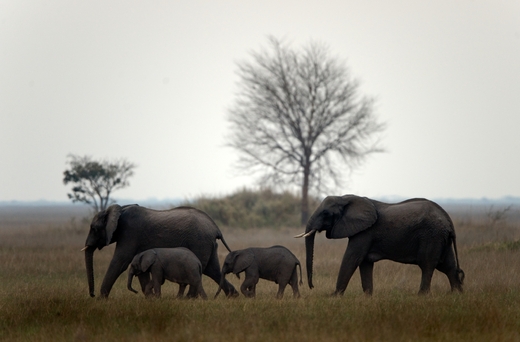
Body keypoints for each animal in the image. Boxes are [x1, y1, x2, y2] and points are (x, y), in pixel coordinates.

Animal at [82, 204, 239, 298]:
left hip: (199, 241)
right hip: (207, 243)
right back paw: (233, 296)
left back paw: (189, 299)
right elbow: (140, 269)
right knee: (212, 270)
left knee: (202, 270)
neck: (120, 209)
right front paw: (150, 298)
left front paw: (101, 300)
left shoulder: (129, 233)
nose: (92, 295)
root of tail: (216, 228)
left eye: (93, 228)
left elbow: (120, 262)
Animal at [294, 196, 466, 296]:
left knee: (428, 265)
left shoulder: (365, 232)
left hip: (431, 236)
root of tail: (449, 220)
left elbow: (352, 258)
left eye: (325, 214)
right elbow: (364, 262)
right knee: (448, 266)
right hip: (441, 239)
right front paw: (368, 297)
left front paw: (334, 297)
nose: (312, 286)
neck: (347, 198)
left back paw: (422, 296)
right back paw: (456, 295)